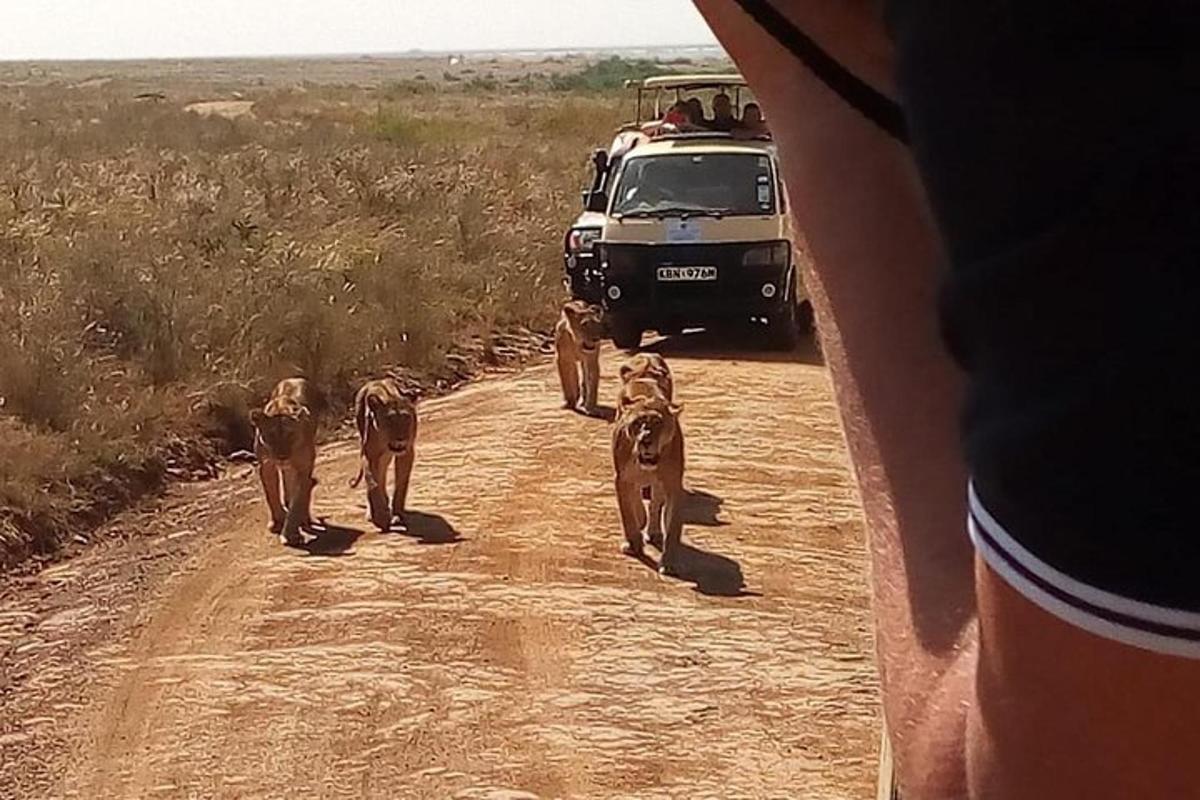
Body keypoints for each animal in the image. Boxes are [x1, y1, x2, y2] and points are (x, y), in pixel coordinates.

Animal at [250, 379, 324, 546]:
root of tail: (295, 378)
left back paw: (304, 518)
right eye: (271, 435)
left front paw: (291, 534)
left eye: (291, 435)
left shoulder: (304, 466)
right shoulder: (266, 465)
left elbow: (297, 501)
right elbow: (272, 495)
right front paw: (277, 521)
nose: (282, 456)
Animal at [350, 381, 420, 534]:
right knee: (378, 478)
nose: (401, 438)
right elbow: (373, 483)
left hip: (385, 456)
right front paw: (381, 518)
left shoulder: (407, 452)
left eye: (406, 418)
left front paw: (397, 515)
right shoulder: (369, 454)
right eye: (390, 420)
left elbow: (401, 484)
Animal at [614, 386, 691, 575]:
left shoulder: (673, 486)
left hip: (659, 485)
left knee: (655, 505)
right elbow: (628, 515)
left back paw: (653, 531)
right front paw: (633, 545)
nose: (645, 440)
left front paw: (668, 563)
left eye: (658, 422)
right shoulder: (622, 480)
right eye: (636, 423)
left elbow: (672, 528)